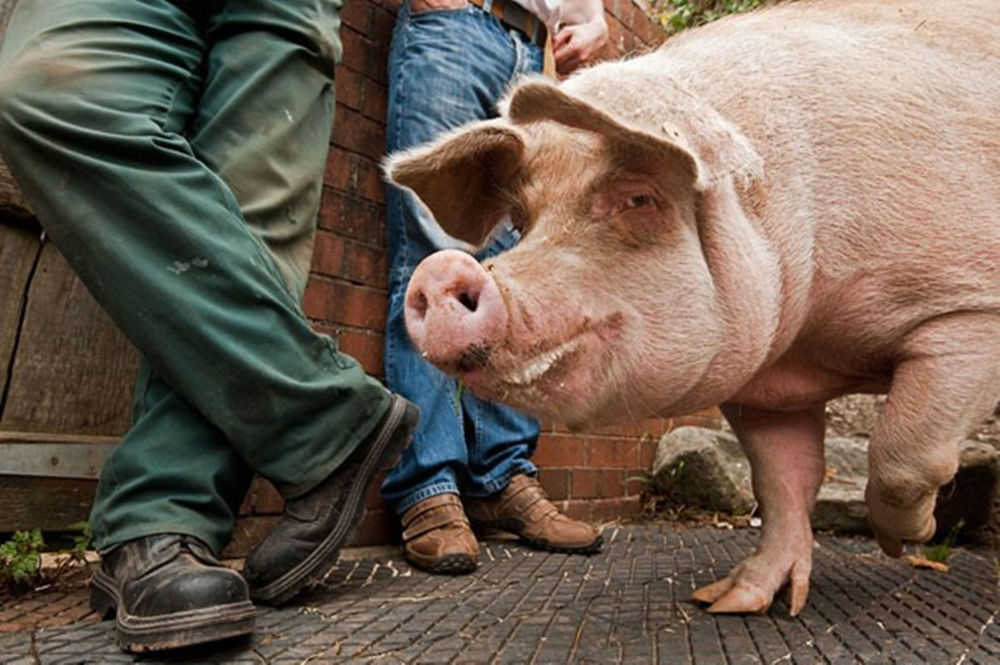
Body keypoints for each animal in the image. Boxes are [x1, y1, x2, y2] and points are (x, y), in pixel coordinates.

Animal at [378, 0, 996, 616]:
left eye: (639, 199)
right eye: (522, 221)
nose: (441, 270)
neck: (815, 343)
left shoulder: (969, 311)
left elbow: (903, 453)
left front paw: (909, 540)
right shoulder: (765, 382)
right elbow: (783, 480)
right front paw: (728, 602)